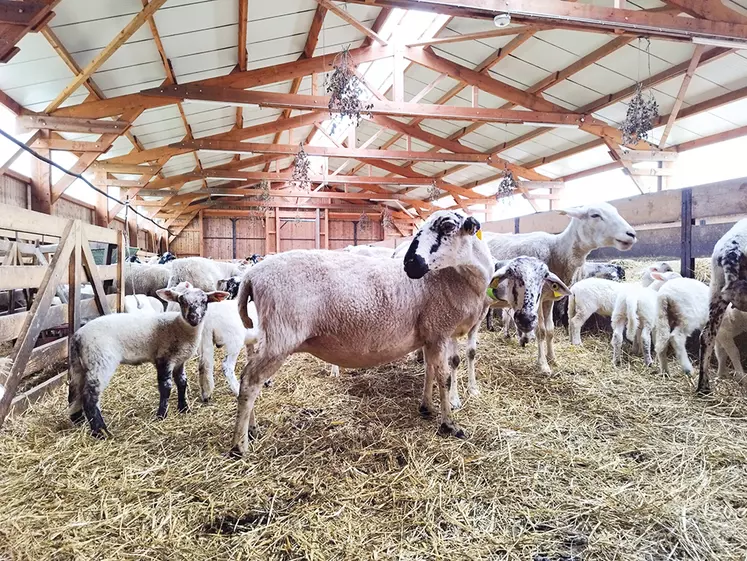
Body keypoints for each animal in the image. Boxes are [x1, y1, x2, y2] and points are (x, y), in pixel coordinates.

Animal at [68, 284, 229, 438]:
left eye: (204, 301)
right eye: (181, 301)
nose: (193, 317)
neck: (179, 328)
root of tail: (78, 337)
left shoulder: (179, 361)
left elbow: (182, 382)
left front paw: (184, 408)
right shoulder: (164, 358)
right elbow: (166, 387)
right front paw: (161, 415)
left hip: (79, 365)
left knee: (75, 392)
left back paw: (78, 420)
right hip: (100, 361)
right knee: (90, 397)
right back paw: (100, 431)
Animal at [231, 210, 494, 456]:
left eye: (448, 226)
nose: (409, 264)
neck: (454, 277)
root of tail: (251, 276)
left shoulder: (431, 334)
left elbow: (429, 372)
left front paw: (426, 407)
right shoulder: (440, 330)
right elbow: (444, 378)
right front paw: (449, 424)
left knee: (249, 376)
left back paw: (252, 429)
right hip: (281, 336)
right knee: (250, 381)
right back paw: (239, 445)